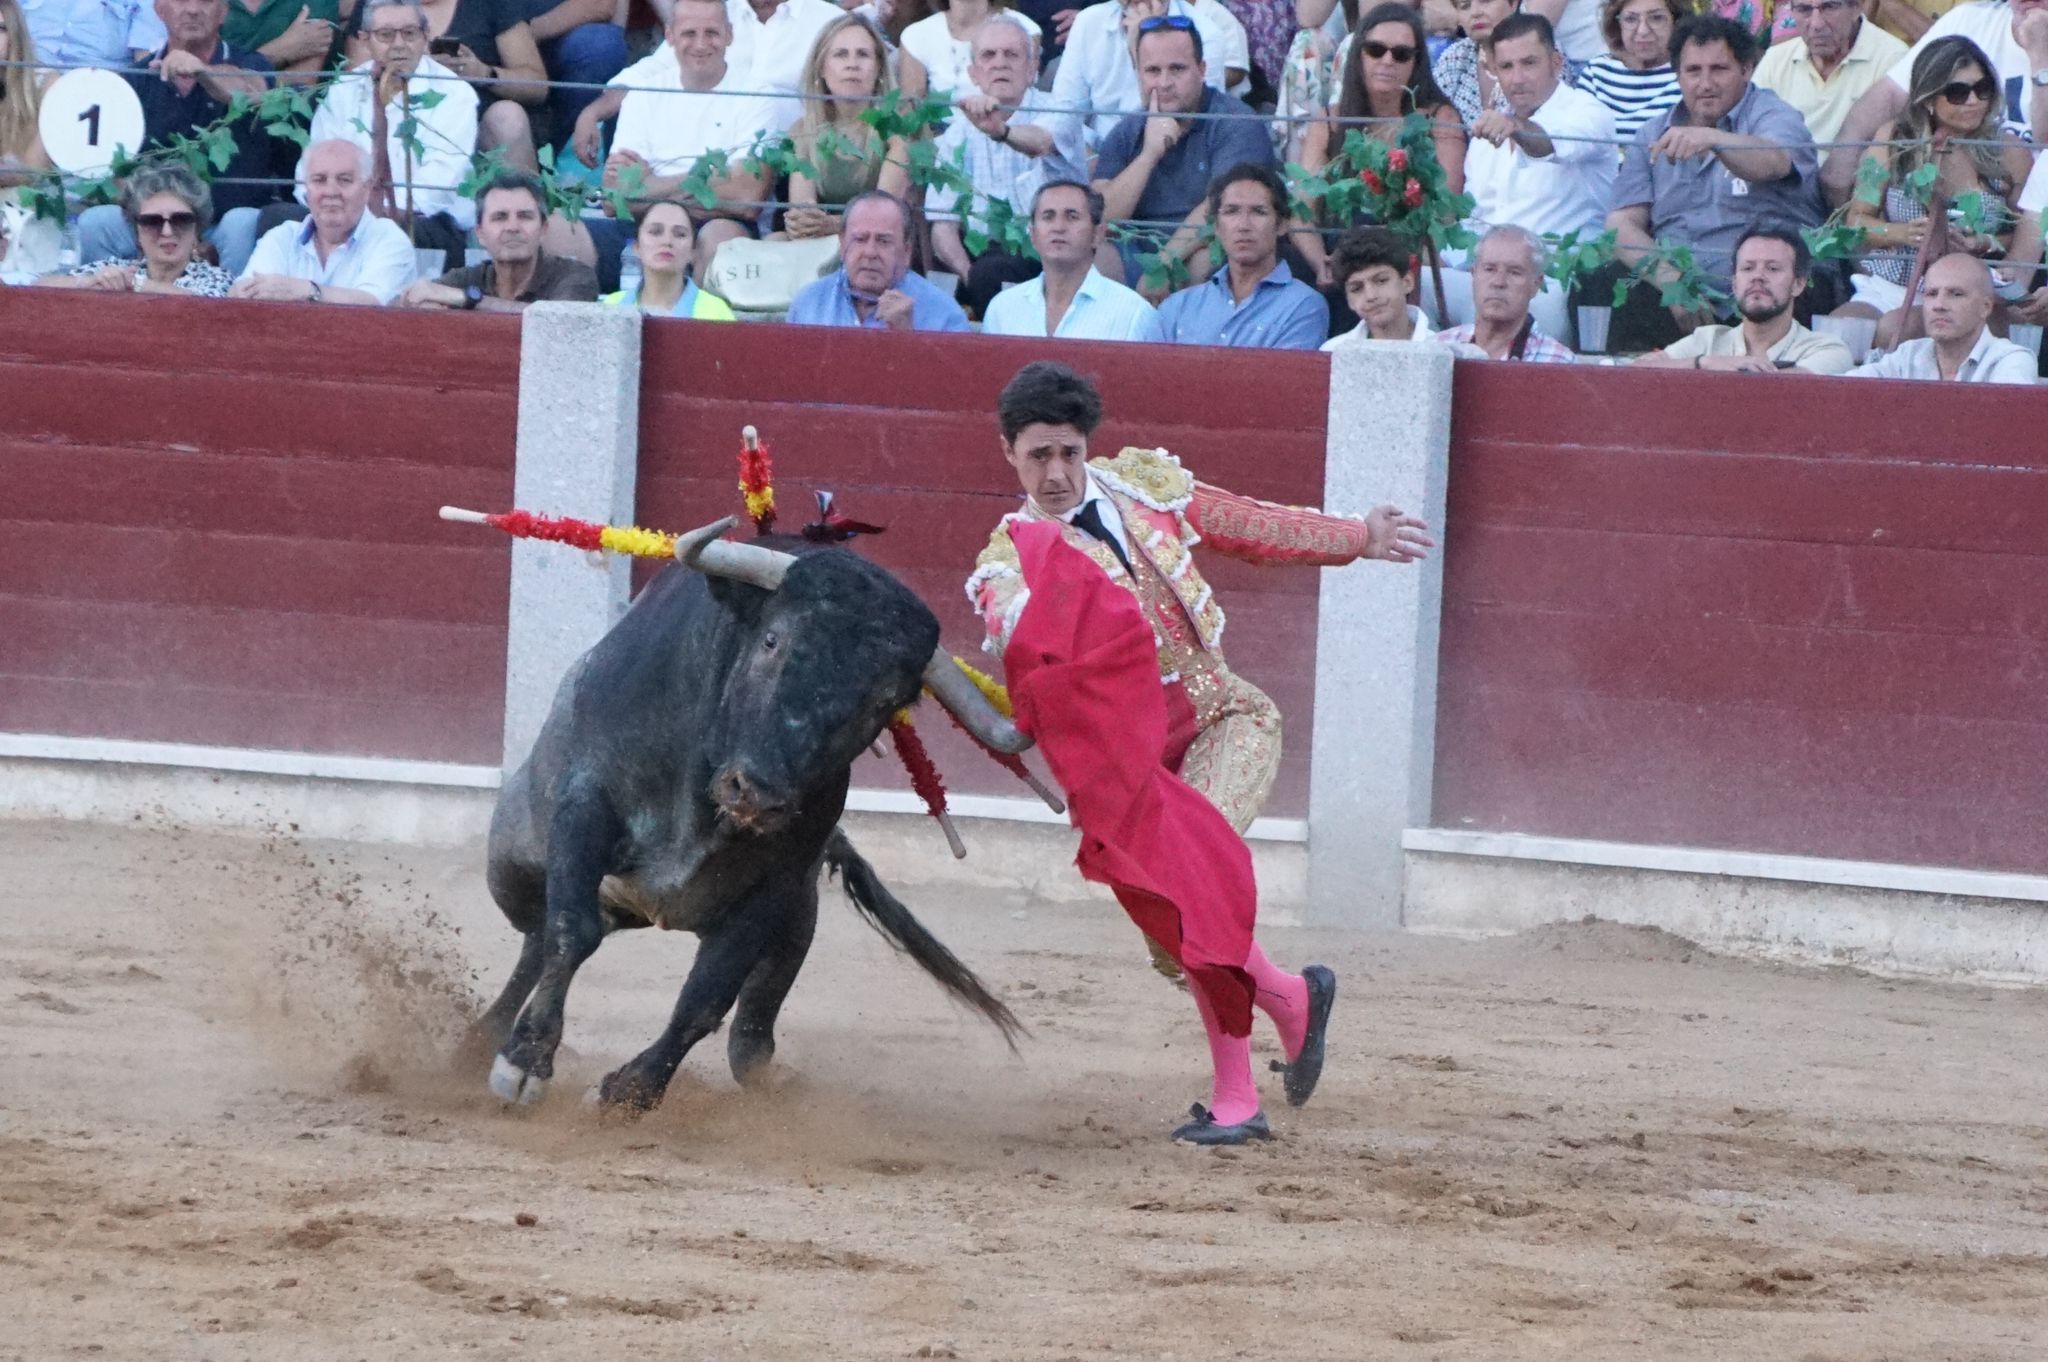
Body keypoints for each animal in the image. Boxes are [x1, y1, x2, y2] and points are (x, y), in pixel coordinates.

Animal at [471, 516, 1032, 1114]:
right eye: (771, 640)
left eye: (882, 701)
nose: (758, 794)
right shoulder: (586, 806)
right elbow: (569, 933)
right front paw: (524, 1063)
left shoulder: (775, 888)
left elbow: (705, 999)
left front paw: (628, 1093)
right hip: (512, 864)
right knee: (536, 936)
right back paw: (477, 1044)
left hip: (797, 922)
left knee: (753, 1027)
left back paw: (771, 1080)